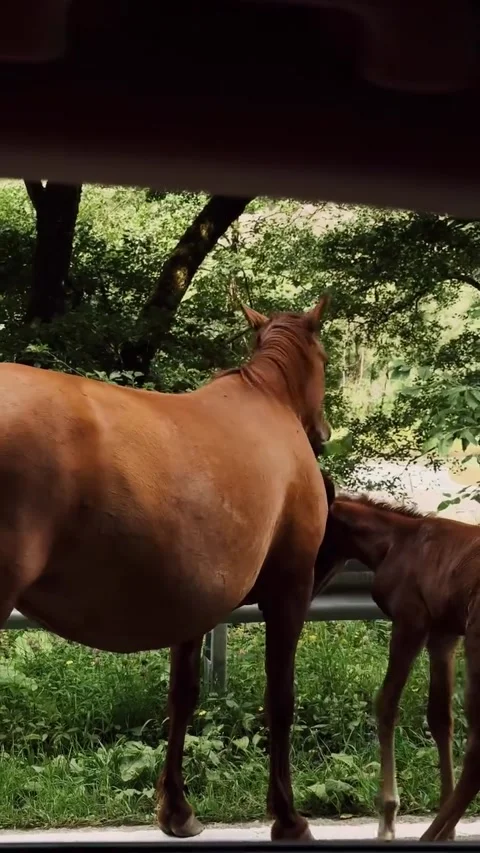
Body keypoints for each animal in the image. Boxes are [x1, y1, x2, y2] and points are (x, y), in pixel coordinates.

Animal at [0, 297, 331, 841]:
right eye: (324, 356)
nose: (323, 433)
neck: (268, 400)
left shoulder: (194, 604)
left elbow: (183, 696)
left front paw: (176, 807)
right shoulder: (290, 588)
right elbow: (280, 699)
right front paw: (287, 815)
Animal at [325, 492, 480, 842]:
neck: (394, 543)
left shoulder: (410, 622)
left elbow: (386, 704)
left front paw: (387, 819)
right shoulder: (443, 635)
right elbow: (440, 718)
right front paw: (449, 825)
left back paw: (429, 835)